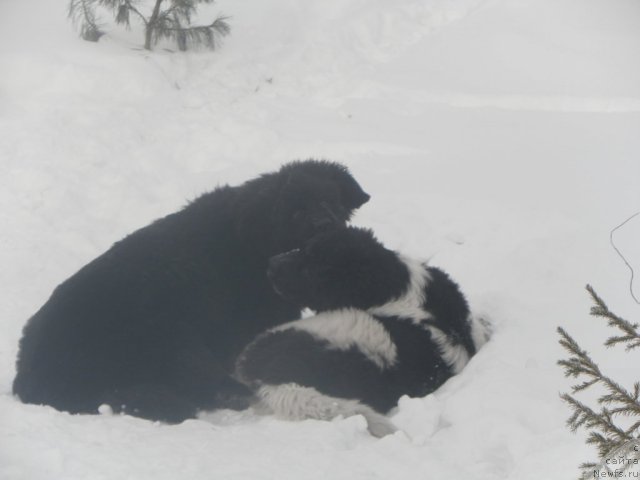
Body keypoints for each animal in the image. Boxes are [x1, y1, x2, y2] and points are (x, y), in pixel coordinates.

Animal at [12, 162, 368, 424]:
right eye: (294, 213)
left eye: (331, 202)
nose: (325, 225)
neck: (252, 243)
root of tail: (30, 378)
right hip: (168, 332)